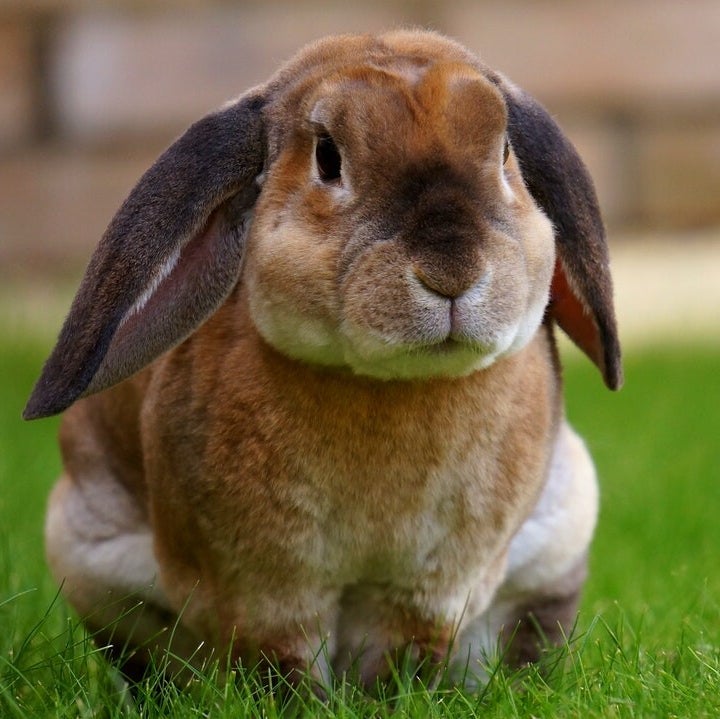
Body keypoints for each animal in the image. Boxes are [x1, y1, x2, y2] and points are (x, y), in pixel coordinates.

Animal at [24, 29, 622, 689]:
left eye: (505, 151)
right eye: (328, 158)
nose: (451, 271)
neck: (391, 386)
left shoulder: (426, 591)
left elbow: (400, 658)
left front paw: (392, 699)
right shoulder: (266, 592)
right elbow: (283, 664)